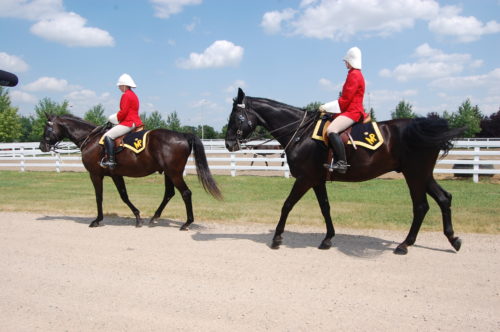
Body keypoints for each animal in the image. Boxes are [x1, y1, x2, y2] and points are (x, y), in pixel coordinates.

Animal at [40, 114, 224, 228]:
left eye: (47, 128)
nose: (42, 146)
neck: (91, 139)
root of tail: (183, 135)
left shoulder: (96, 175)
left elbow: (99, 197)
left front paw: (97, 220)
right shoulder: (115, 174)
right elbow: (124, 196)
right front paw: (137, 217)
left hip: (174, 173)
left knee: (185, 193)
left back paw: (187, 223)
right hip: (169, 173)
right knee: (169, 193)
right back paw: (154, 218)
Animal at [225, 88, 462, 254]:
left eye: (236, 117)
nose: (228, 144)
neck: (301, 132)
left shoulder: (304, 179)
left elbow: (287, 205)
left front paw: (276, 238)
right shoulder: (317, 180)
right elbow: (325, 208)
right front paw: (328, 238)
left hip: (415, 175)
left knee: (421, 206)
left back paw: (405, 244)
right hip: (422, 175)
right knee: (444, 198)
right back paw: (452, 239)